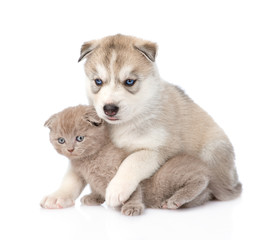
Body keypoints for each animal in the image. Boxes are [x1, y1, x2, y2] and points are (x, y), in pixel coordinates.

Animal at [42, 105, 212, 216]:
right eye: (61, 140)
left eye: (79, 138)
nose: (70, 149)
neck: (88, 161)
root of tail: (204, 165)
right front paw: (94, 197)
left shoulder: (117, 170)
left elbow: (132, 190)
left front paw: (132, 207)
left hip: (168, 175)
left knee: (200, 179)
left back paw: (174, 200)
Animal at [76, 32, 242, 207]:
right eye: (98, 81)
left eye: (129, 81)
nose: (109, 108)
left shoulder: (159, 149)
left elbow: (132, 160)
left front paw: (116, 189)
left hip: (213, 150)